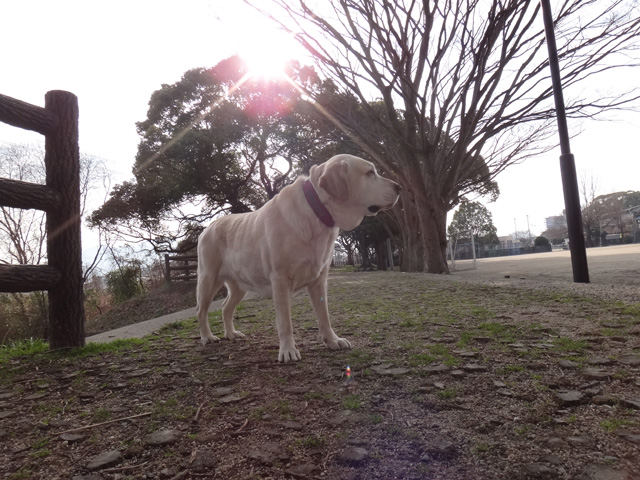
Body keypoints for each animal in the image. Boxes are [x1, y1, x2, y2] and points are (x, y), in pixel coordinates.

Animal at [195, 156, 400, 362]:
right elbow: (285, 322)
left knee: (225, 308)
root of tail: (208, 228)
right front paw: (287, 350)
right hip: (208, 280)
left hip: (239, 286)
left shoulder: (319, 281)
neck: (317, 210)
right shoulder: (280, 280)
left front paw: (332, 340)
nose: (399, 187)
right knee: (201, 311)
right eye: (370, 173)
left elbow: (324, 316)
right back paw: (207, 337)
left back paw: (231, 333)